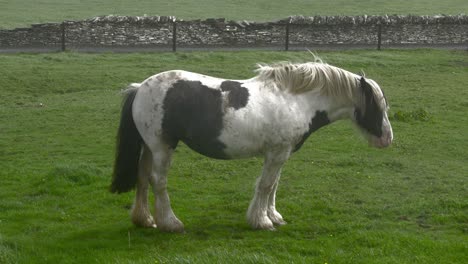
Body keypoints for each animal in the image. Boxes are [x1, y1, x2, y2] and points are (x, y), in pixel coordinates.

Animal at [109, 59, 392, 231]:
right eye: (378, 107)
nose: (387, 139)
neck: (296, 100)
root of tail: (140, 88)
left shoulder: (280, 154)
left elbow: (273, 184)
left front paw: (273, 216)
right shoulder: (277, 153)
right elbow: (266, 185)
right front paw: (262, 221)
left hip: (149, 147)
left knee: (142, 177)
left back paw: (144, 219)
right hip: (162, 147)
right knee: (158, 181)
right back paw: (171, 223)